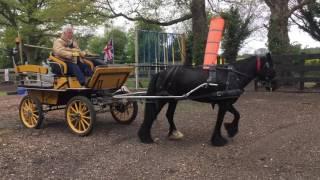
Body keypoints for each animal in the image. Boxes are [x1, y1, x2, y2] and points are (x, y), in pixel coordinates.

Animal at [138, 53, 278, 146]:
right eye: (271, 67)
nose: (275, 85)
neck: (234, 75)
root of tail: (161, 72)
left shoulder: (227, 101)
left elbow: (237, 114)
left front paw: (231, 130)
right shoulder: (224, 104)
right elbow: (220, 120)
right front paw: (218, 139)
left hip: (173, 99)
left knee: (169, 115)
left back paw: (174, 133)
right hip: (163, 98)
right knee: (152, 114)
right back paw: (145, 137)